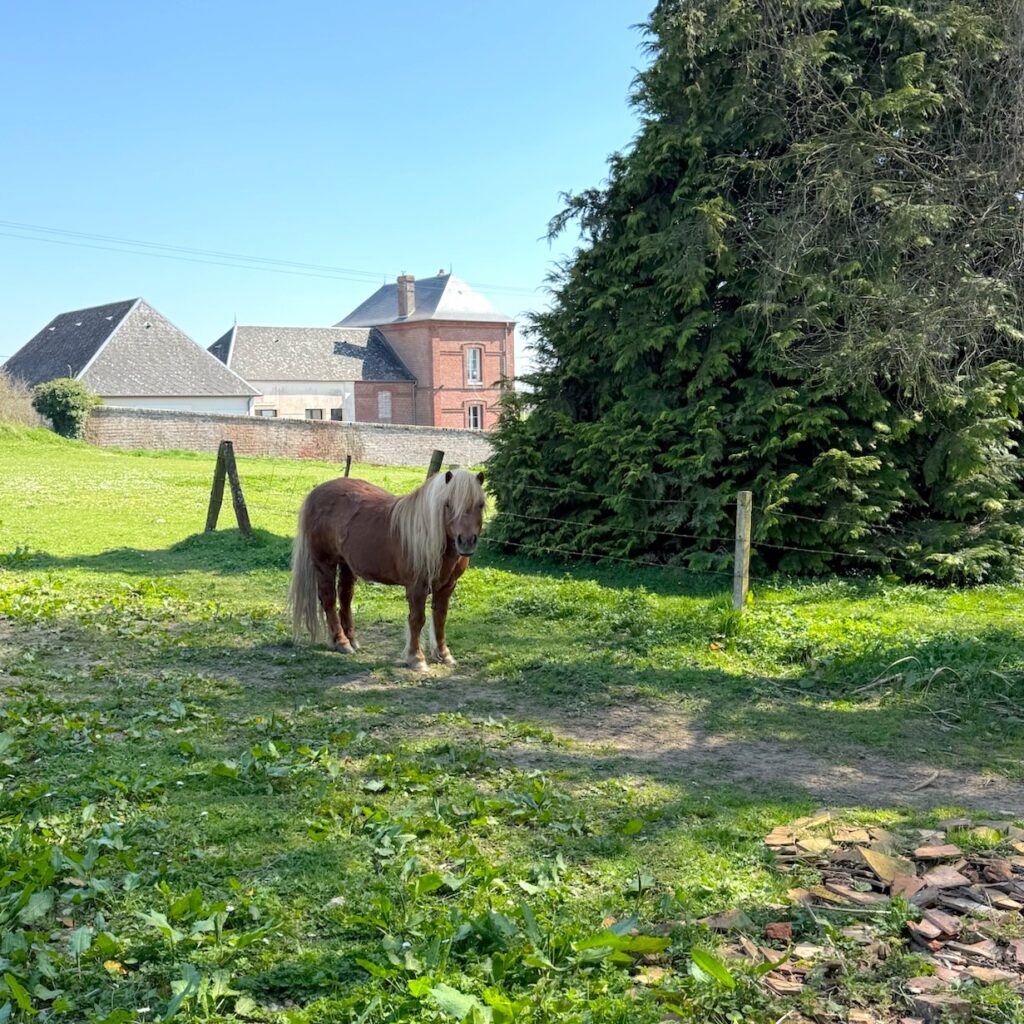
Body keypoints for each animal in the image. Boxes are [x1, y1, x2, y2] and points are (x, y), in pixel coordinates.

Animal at [289, 469, 486, 672]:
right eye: (448, 504)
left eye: (480, 504)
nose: (467, 542)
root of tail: (315, 493)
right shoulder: (417, 587)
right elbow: (417, 620)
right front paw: (416, 659)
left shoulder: (447, 586)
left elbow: (440, 618)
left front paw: (444, 655)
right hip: (324, 562)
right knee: (329, 599)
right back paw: (341, 642)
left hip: (346, 564)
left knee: (345, 598)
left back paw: (352, 640)